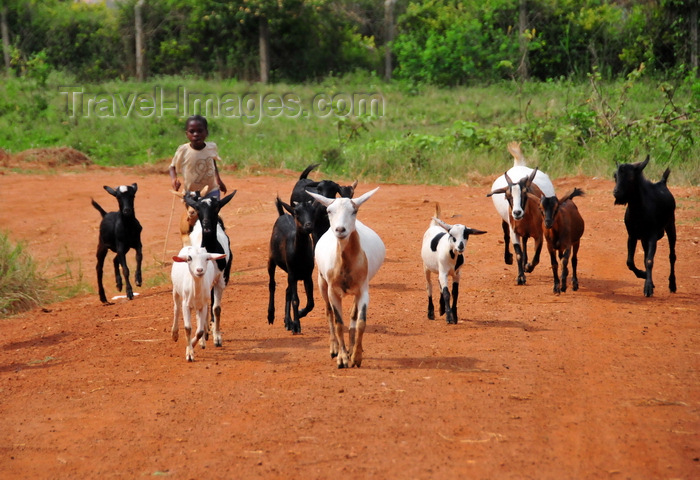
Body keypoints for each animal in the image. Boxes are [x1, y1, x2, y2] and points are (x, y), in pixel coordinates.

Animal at [266, 195, 316, 334]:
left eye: (313, 211)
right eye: (297, 213)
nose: (309, 225)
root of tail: (283, 214)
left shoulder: (307, 275)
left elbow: (310, 303)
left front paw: (298, 315)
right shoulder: (293, 274)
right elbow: (295, 300)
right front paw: (297, 325)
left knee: (287, 291)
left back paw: (288, 321)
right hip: (272, 259)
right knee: (272, 284)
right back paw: (271, 315)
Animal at [616, 155, 676, 296]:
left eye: (630, 177)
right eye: (615, 176)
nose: (616, 193)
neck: (639, 210)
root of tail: (662, 182)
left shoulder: (652, 235)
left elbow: (649, 261)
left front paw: (648, 287)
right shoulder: (632, 235)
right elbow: (630, 262)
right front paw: (644, 276)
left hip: (671, 225)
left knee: (672, 256)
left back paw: (672, 285)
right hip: (644, 239)